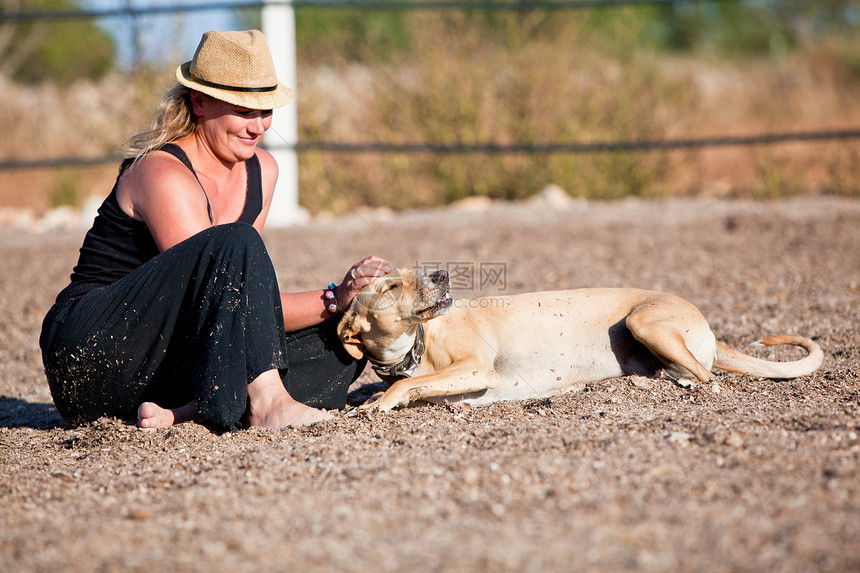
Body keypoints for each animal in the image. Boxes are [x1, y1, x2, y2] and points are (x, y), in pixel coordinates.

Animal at [334, 270, 820, 412]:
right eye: (390, 285)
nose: (440, 274)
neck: (415, 347)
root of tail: (712, 333)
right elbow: (403, 384)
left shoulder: (475, 367)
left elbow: (403, 385)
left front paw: (378, 403)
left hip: (646, 322)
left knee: (708, 379)